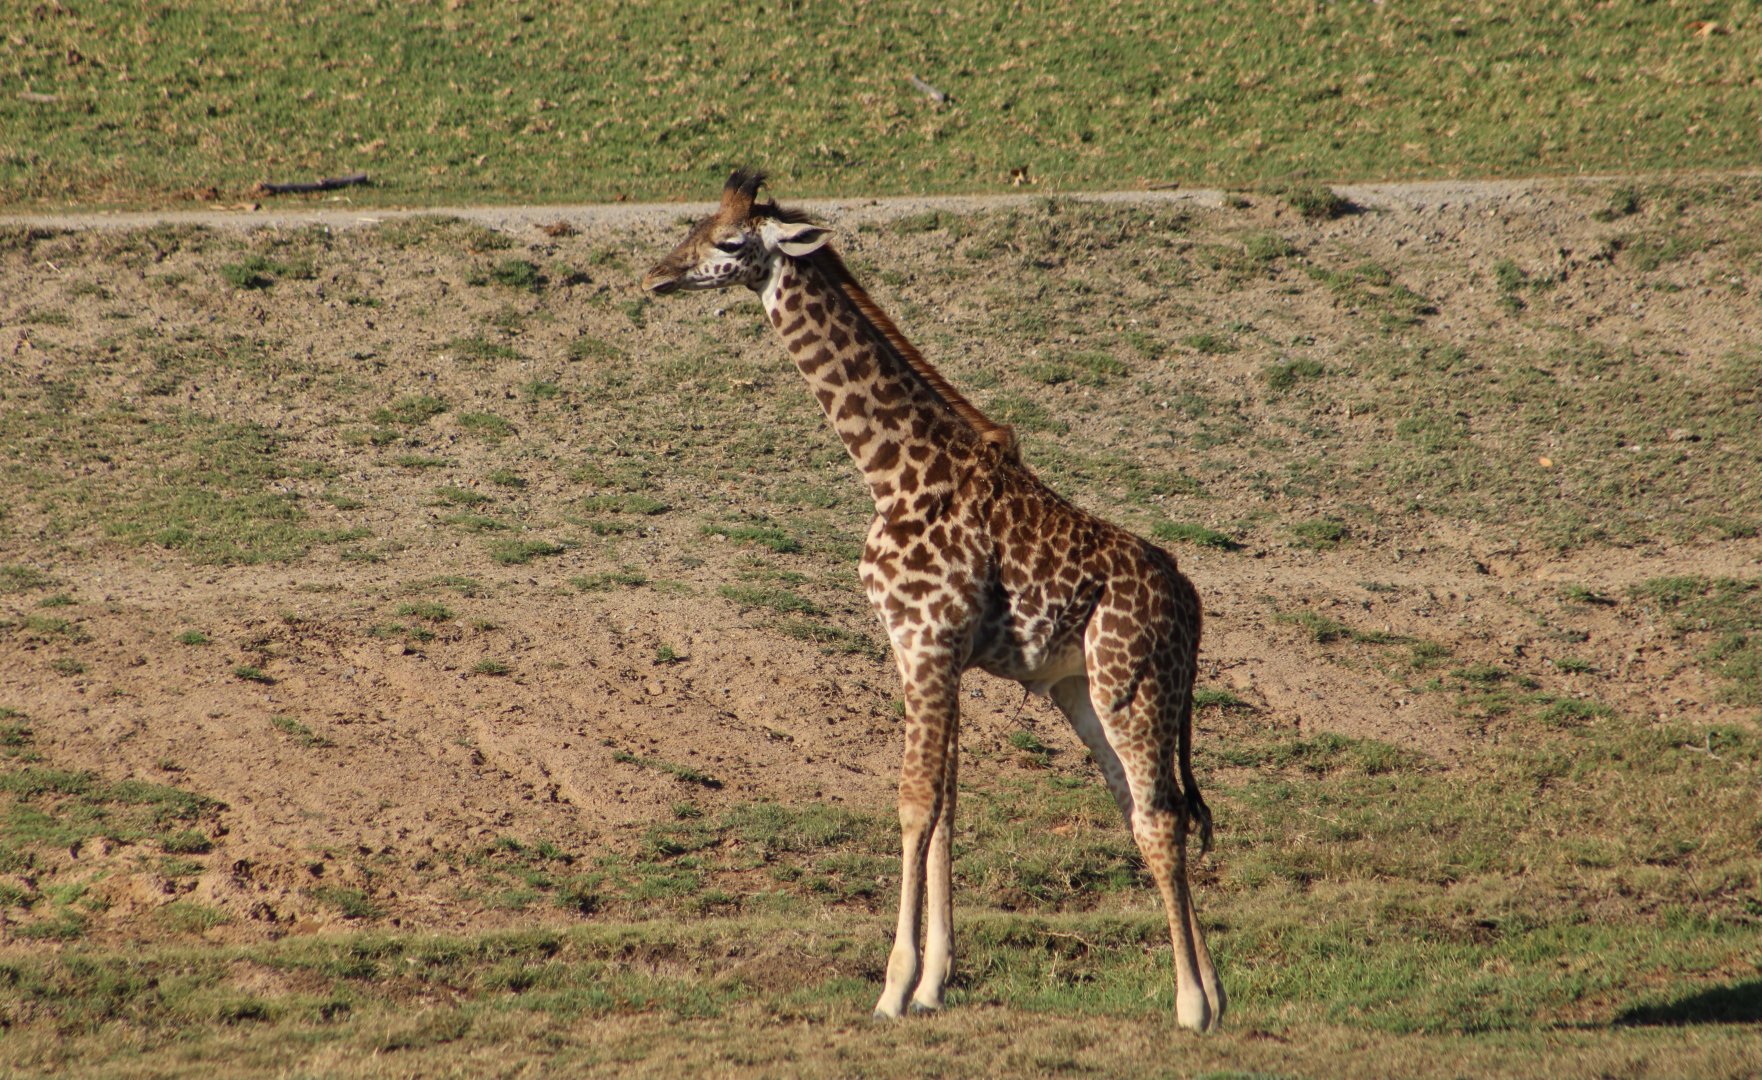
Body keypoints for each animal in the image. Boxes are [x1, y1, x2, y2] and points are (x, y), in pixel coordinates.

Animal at [642, 170, 1224, 1032]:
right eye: (697, 224)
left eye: (728, 240)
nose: (656, 275)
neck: (892, 471)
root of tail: (1190, 601)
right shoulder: (925, 651)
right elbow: (948, 805)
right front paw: (932, 985)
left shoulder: (927, 641)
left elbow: (916, 803)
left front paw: (892, 988)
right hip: (1084, 690)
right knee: (1147, 806)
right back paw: (1215, 990)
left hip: (1133, 684)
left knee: (1156, 814)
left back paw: (1192, 1006)